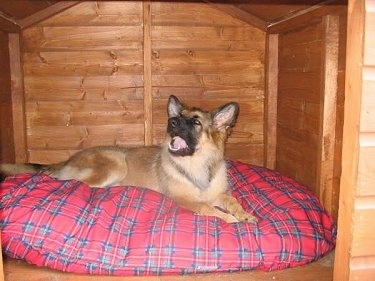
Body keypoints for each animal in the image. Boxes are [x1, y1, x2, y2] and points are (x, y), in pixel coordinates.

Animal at [0, 95, 258, 222]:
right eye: (178, 117)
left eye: (195, 122)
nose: (171, 121)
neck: (197, 165)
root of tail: (68, 160)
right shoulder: (184, 199)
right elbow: (206, 207)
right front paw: (229, 219)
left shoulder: (217, 193)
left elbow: (232, 201)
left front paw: (244, 214)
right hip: (115, 163)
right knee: (74, 183)